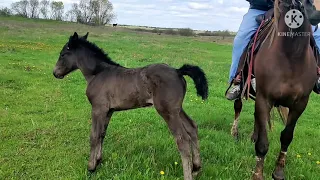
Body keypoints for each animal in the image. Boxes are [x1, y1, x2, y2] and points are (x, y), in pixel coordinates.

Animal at [53, 31, 208, 179]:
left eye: (63, 54)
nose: (55, 73)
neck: (97, 74)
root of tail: (177, 71)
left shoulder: (98, 109)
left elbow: (94, 136)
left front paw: (91, 167)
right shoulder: (108, 111)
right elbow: (102, 134)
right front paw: (98, 161)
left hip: (167, 111)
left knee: (182, 140)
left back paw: (188, 175)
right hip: (177, 109)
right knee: (192, 127)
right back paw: (196, 169)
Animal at [248, 0, 318, 179]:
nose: (314, 11)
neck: (292, 56)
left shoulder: (300, 104)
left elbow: (287, 136)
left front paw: (279, 171)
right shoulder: (264, 98)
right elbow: (263, 143)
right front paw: (258, 173)